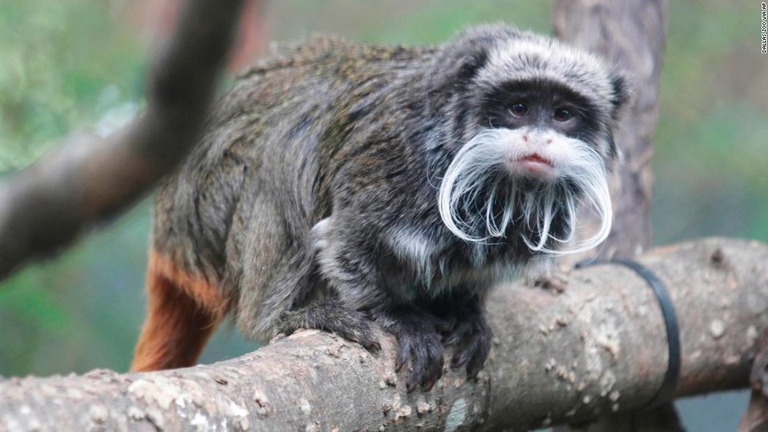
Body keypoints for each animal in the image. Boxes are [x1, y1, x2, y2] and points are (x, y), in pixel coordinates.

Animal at [129, 25, 628, 394]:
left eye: (563, 114)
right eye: (518, 107)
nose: (539, 138)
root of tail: (166, 232)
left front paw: (466, 311)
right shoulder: (393, 166)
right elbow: (344, 243)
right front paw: (399, 318)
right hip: (205, 212)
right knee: (285, 152)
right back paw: (283, 315)